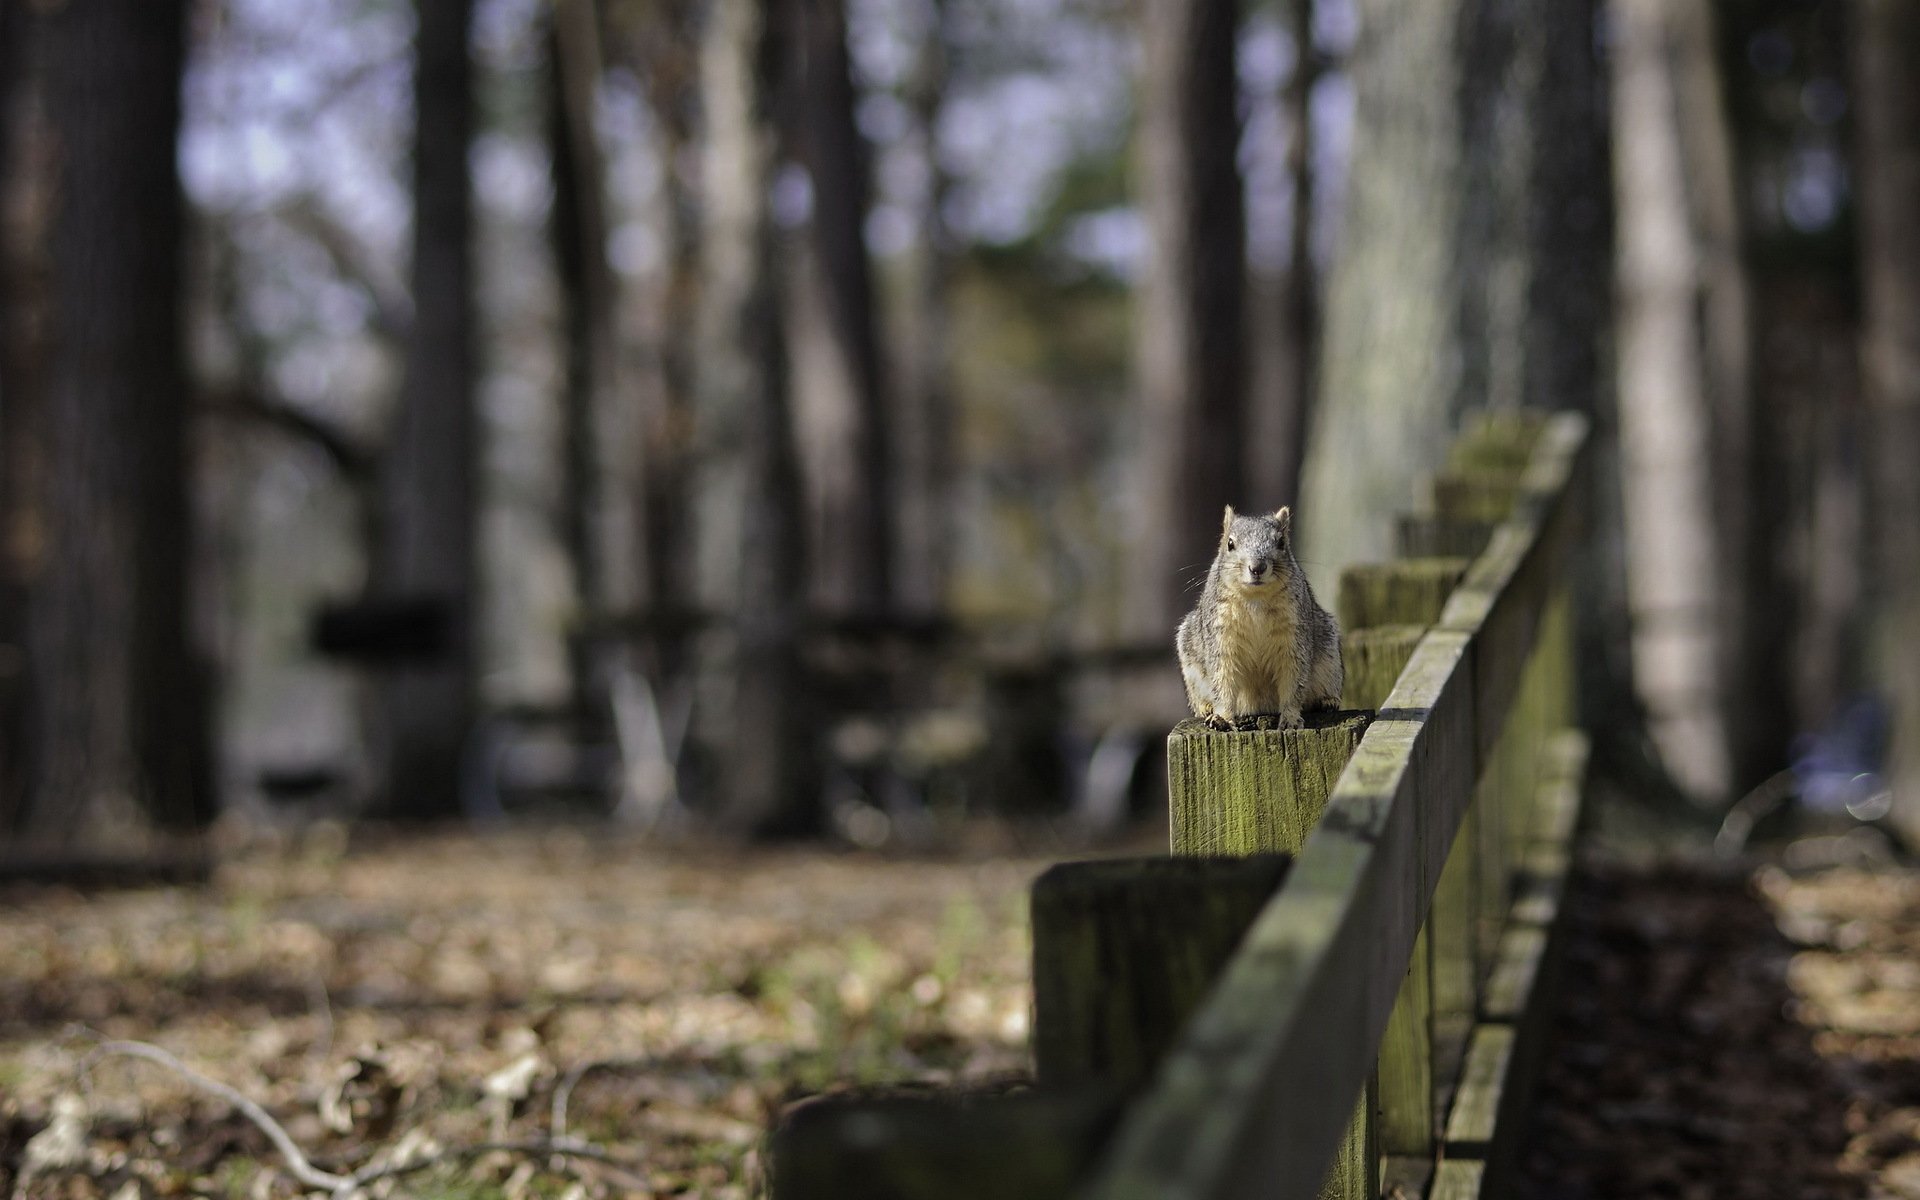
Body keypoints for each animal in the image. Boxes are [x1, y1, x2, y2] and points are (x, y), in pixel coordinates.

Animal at [1176, 505, 1344, 731]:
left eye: (1281, 543)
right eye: (1230, 544)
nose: (1257, 567)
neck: (1255, 598)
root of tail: (1259, 708)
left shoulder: (1294, 637)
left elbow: (1293, 681)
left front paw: (1291, 719)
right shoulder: (1222, 636)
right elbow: (1223, 679)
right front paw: (1222, 718)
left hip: (1330, 656)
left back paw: (1327, 701)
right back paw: (1206, 708)